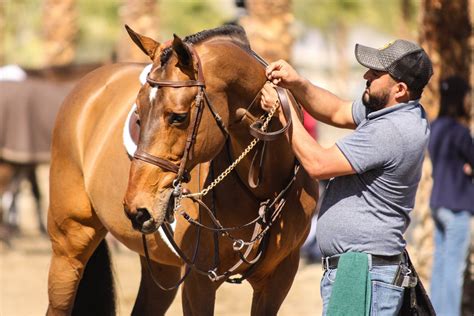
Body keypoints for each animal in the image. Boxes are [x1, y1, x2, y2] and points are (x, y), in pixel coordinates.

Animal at [46, 25, 316, 316]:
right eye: (138, 115)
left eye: (178, 117)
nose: (137, 208)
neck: (262, 189)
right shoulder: (199, 281)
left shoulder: (278, 279)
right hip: (69, 247)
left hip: (160, 266)